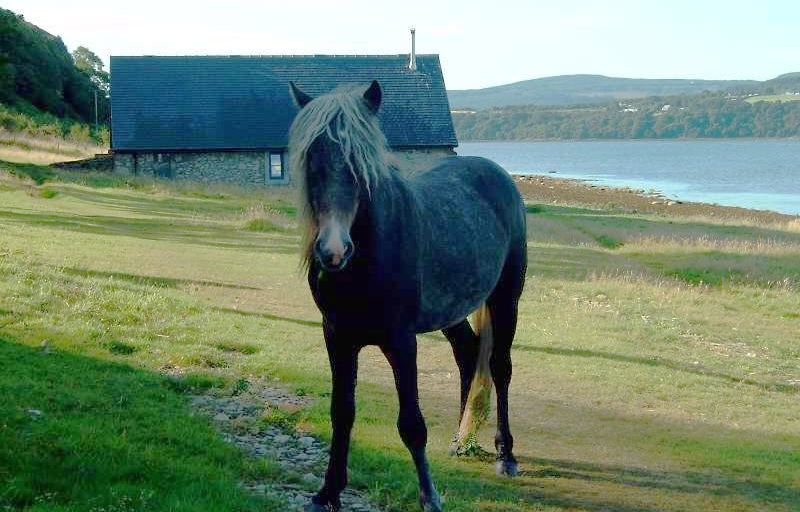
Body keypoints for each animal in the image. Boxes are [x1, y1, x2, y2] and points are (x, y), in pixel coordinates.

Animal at [286, 80, 524, 512]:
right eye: (312, 158)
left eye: (360, 163)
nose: (333, 250)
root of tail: (497, 173)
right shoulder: (337, 336)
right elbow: (341, 411)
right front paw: (328, 491)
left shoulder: (401, 341)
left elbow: (412, 424)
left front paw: (429, 496)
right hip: (453, 313)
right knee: (468, 354)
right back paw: (460, 440)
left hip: (506, 300)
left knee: (500, 367)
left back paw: (505, 454)